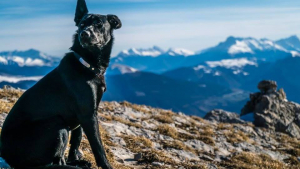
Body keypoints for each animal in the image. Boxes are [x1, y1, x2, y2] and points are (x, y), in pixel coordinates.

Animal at [1, 0, 120, 168]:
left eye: (99, 25)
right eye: (82, 24)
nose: (84, 34)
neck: (86, 64)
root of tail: (5, 154)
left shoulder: (82, 117)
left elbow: (76, 139)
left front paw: (75, 158)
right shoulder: (88, 115)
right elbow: (98, 147)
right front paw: (106, 165)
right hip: (58, 124)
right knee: (48, 164)